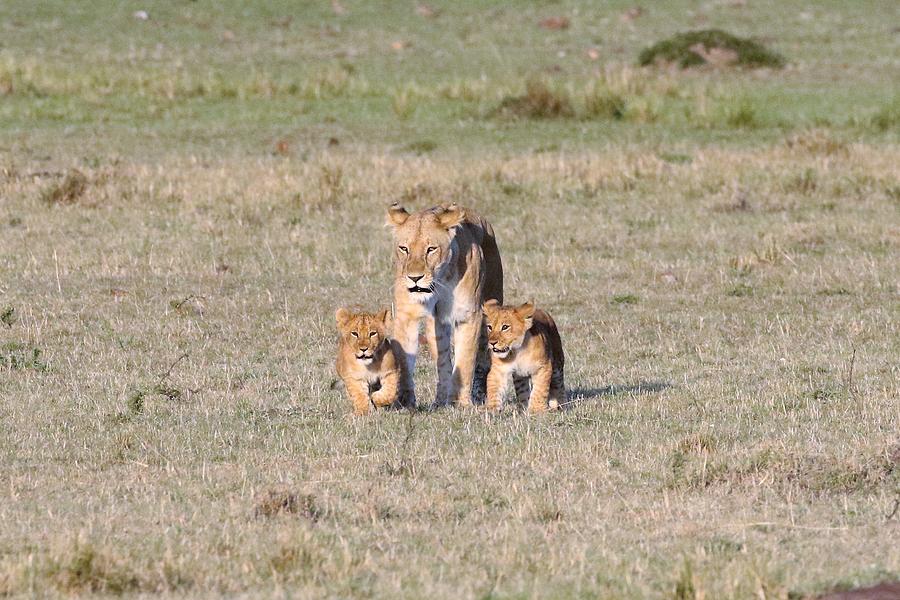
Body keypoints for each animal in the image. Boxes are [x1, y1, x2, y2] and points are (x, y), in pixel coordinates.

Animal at [384, 203, 502, 408]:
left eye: (431, 249)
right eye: (404, 248)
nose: (414, 278)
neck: (440, 280)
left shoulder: (468, 315)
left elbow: (465, 361)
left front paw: (461, 403)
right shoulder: (407, 315)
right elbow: (405, 361)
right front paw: (404, 402)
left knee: (483, 358)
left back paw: (479, 395)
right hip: (436, 324)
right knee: (443, 362)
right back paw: (440, 400)